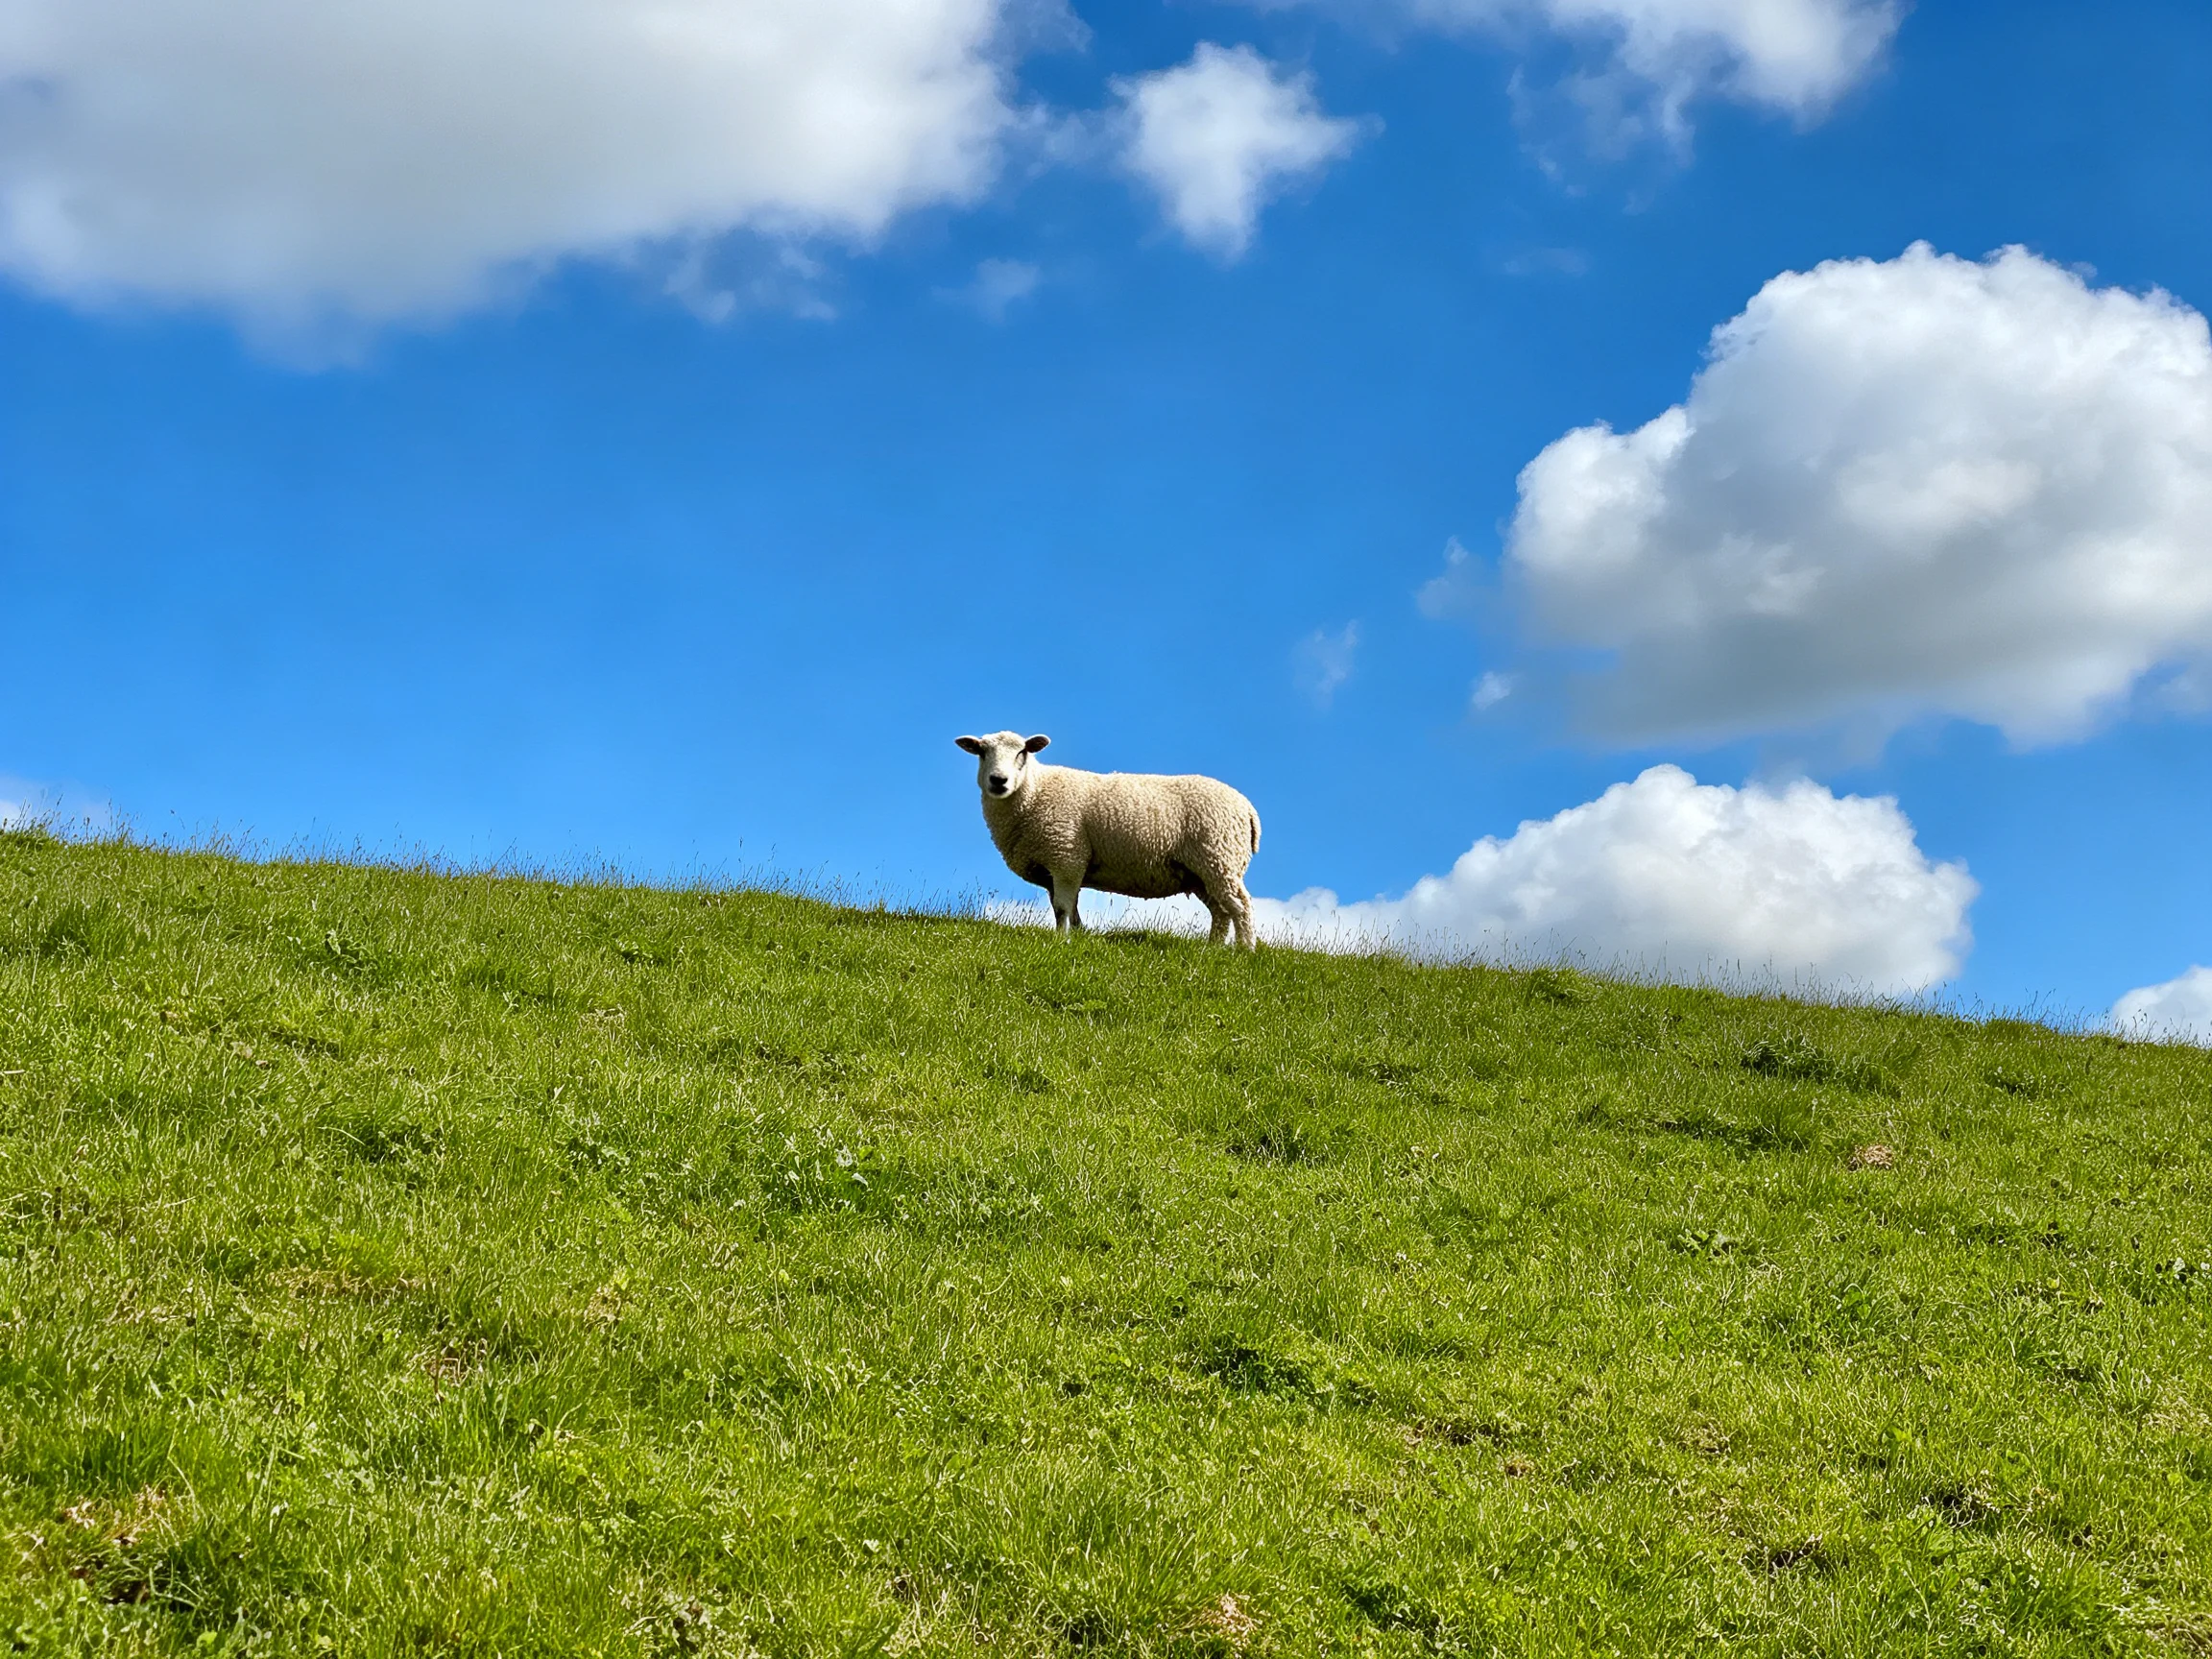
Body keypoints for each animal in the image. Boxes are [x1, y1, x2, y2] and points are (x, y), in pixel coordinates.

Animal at [954, 731, 1262, 948]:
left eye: (1023, 752)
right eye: (982, 752)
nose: (998, 780)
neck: (1035, 790)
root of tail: (1248, 809)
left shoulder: (1066, 857)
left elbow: (1063, 908)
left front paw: (1061, 942)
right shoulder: (1056, 869)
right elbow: (1067, 910)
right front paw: (1077, 936)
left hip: (1219, 857)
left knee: (1241, 906)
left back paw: (1245, 950)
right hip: (1201, 872)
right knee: (1221, 911)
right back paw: (1213, 950)